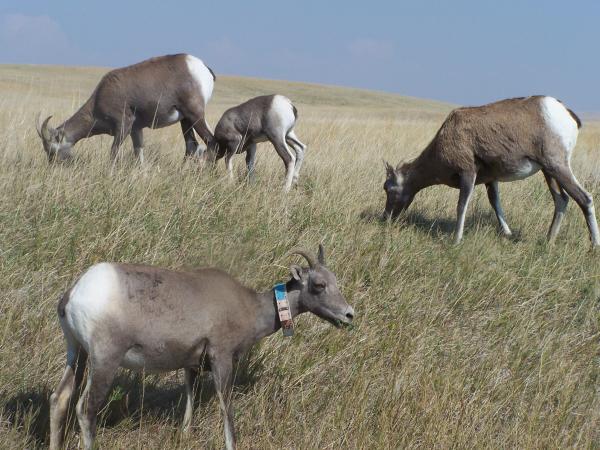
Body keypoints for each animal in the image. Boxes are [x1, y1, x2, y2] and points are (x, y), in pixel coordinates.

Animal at [35, 54, 216, 163]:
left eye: (51, 150)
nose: (53, 166)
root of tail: (202, 67)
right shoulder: (136, 130)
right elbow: (139, 155)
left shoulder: (123, 126)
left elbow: (114, 153)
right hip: (185, 121)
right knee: (191, 147)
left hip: (196, 116)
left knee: (211, 142)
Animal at [49, 246, 354, 450]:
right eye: (319, 285)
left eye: (335, 281)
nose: (349, 315)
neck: (249, 308)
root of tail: (74, 294)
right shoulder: (222, 359)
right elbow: (227, 411)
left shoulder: (191, 365)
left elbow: (189, 403)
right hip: (104, 361)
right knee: (86, 409)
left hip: (77, 355)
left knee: (59, 399)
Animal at [384, 95, 600, 248]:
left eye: (390, 189)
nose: (386, 218)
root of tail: (567, 113)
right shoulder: (491, 180)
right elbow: (495, 203)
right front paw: (508, 234)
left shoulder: (468, 174)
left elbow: (461, 206)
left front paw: (456, 241)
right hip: (549, 172)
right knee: (561, 201)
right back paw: (548, 241)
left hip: (558, 167)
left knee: (585, 198)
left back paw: (594, 246)